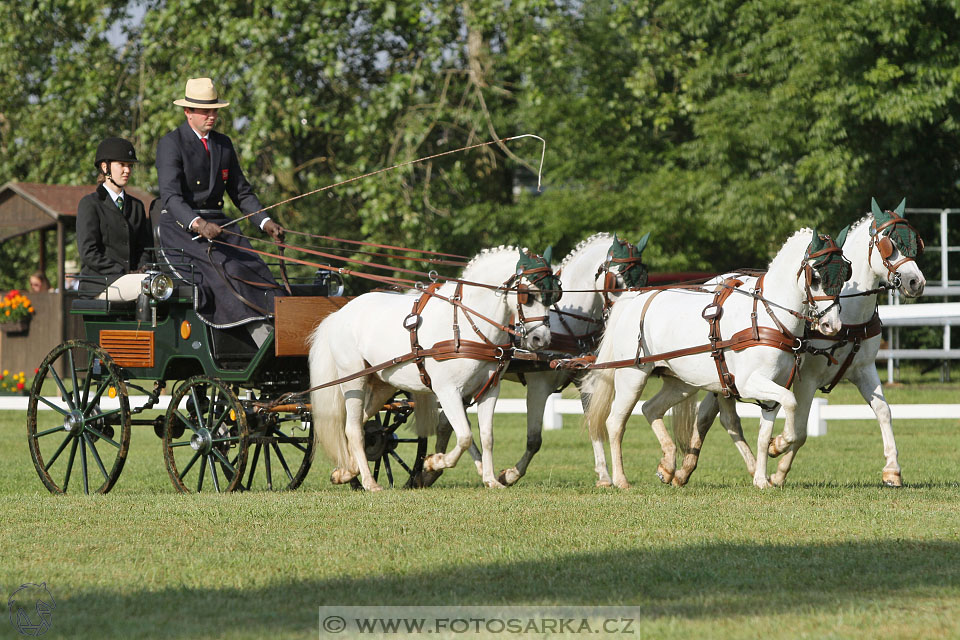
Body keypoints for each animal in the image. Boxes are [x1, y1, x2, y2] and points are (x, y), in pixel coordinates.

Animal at [312, 245, 560, 490]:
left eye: (554, 294)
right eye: (528, 296)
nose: (541, 339)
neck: (467, 326)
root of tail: (339, 313)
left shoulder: (489, 390)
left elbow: (486, 436)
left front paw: (491, 479)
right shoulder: (447, 390)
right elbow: (465, 436)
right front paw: (433, 462)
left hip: (382, 385)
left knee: (359, 424)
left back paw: (347, 471)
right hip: (354, 380)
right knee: (353, 430)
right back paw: (369, 482)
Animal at [430, 232, 648, 488]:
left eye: (645, 278)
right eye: (617, 282)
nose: (631, 312)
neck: (566, 323)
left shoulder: (585, 379)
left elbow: (594, 423)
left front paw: (604, 476)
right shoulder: (539, 384)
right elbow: (534, 439)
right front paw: (510, 474)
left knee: (447, 422)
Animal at [584, 229, 848, 490]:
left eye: (846, 274)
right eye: (815, 276)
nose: (831, 325)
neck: (767, 317)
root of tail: (633, 300)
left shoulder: (776, 385)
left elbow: (765, 434)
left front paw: (763, 476)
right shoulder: (749, 382)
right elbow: (791, 403)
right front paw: (780, 444)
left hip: (681, 384)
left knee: (650, 408)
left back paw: (668, 466)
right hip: (632, 376)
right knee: (615, 422)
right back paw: (620, 480)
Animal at [684, 198, 924, 488]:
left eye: (914, 243)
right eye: (889, 245)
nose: (916, 282)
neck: (848, 317)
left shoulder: (863, 369)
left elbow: (883, 411)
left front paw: (892, 469)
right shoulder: (805, 379)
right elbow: (799, 430)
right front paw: (777, 456)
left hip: (723, 376)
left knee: (710, 415)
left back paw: (679, 469)